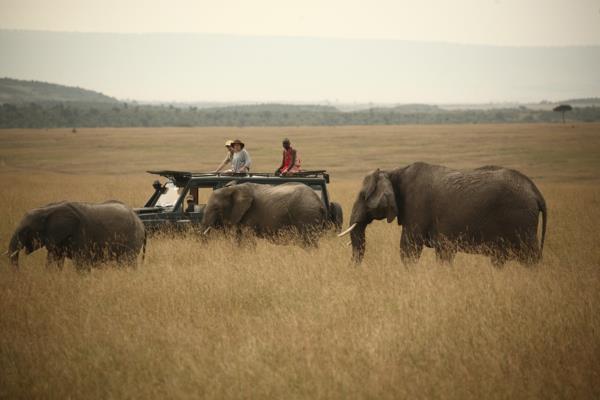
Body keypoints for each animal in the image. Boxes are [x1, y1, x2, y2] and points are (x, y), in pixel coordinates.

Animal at [7, 202, 145, 270]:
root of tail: (140, 222)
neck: (48, 210)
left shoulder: (80, 234)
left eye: (26, 231)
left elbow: (82, 262)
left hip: (132, 240)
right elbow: (53, 260)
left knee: (126, 261)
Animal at [340, 161, 548, 268]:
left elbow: (408, 248)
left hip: (521, 219)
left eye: (363, 196)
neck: (393, 171)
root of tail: (535, 191)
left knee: (529, 256)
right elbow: (443, 252)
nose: (351, 269)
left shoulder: (417, 206)